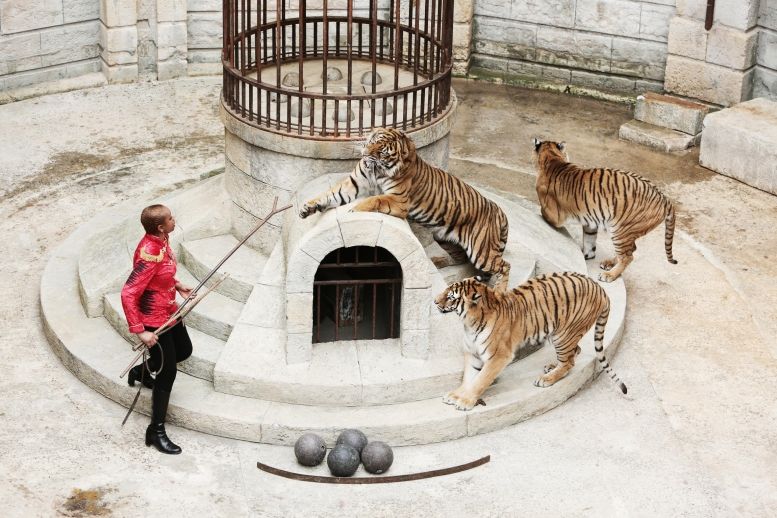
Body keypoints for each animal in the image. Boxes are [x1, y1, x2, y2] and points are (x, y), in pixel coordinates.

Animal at [299, 127, 511, 290]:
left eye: (382, 151)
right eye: (372, 141)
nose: (365, 154)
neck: (376, 170)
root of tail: (500, 211)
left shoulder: (398, 200)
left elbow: (375, 199)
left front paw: (355, 210)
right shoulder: (353, 185)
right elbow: (329, 195)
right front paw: (307, 208)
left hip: (481, 250)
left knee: (504, 266)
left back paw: (499, 290)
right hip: (448, 239)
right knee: (461, 260)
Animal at [434, 273, 627, 411]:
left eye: (451, 297)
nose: (435, 301)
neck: (469, 323)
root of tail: (600, 288)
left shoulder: (499, 356)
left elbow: (480, 380)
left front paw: (465, 401)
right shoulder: (472, 353)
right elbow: (468, 378)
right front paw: (456, 395)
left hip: (563, 335)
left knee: (569, 362)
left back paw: (547, 379)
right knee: (574, 352)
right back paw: (551, 366)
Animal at [533, 138, 677, 283]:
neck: (553, 158)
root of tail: (665, 199)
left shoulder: (555, 215)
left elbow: (543, 212)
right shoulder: (590, 221)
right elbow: (589, 240)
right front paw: (587, 254)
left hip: (620, 230)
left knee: (628, 256)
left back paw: (609, 275)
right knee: (631, 249)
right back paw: (608, 264)